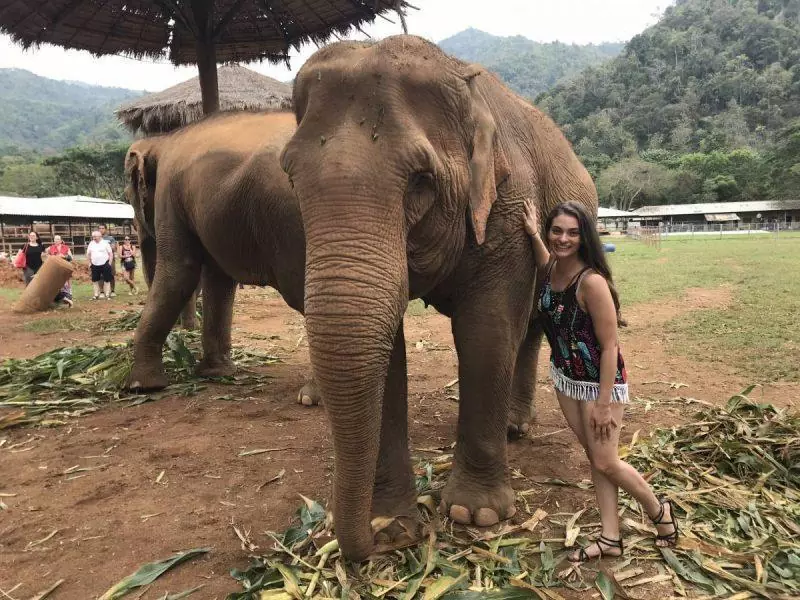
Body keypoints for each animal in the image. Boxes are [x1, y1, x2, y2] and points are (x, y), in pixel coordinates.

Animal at [122, 110, 316, 406]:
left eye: (128, 196)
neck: (162, 140)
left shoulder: (169, 194)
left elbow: (179, 271)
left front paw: (142, 387)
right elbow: (218, 279)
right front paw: (215, 374)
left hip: (292, 220)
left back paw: (313, 397)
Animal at [278, 36, 596, 564]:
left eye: (420, 179)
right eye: (290, 176)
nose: (379, 543)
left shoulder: (510, 206)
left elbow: (486, 331)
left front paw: (475, 514)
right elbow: (388, 352)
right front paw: (389, 520)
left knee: (526, 327)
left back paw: (515, 430)